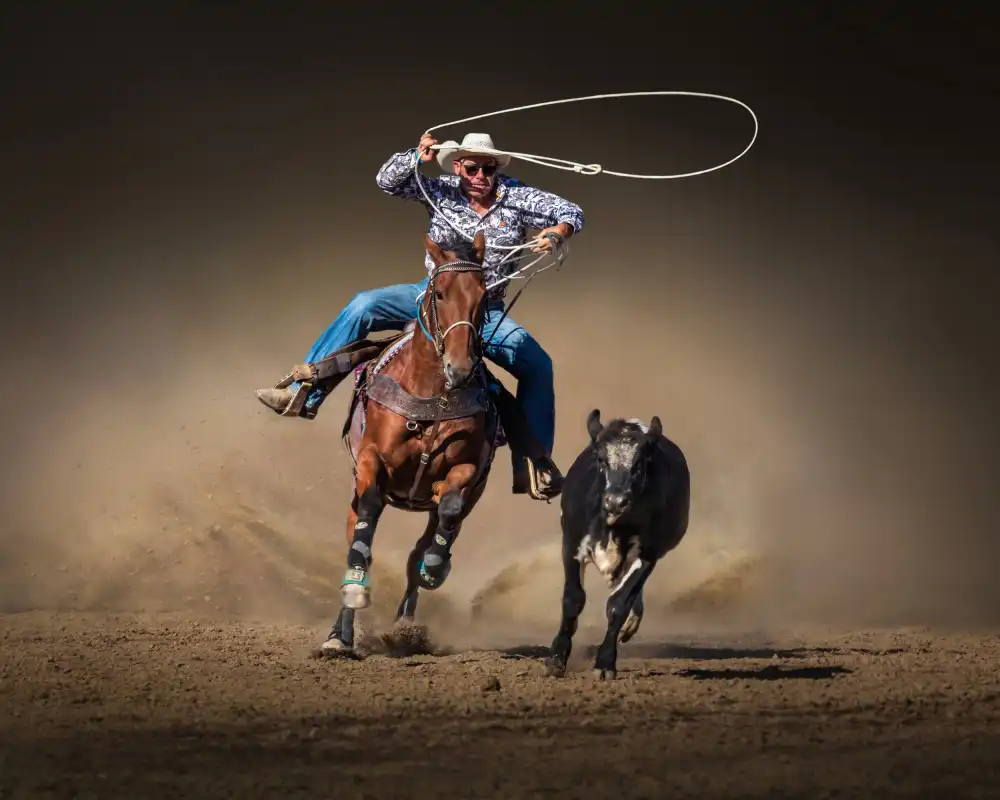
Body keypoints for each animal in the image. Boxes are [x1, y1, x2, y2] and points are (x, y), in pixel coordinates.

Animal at [544, 409, 691, 680]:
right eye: (601, 459)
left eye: (639, 463)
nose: (615, 501)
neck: (614, 528)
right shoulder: (571, 543)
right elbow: (573, 600)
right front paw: (556, 658)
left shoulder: (649, 554)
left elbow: (618, 604)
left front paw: (604, 663)